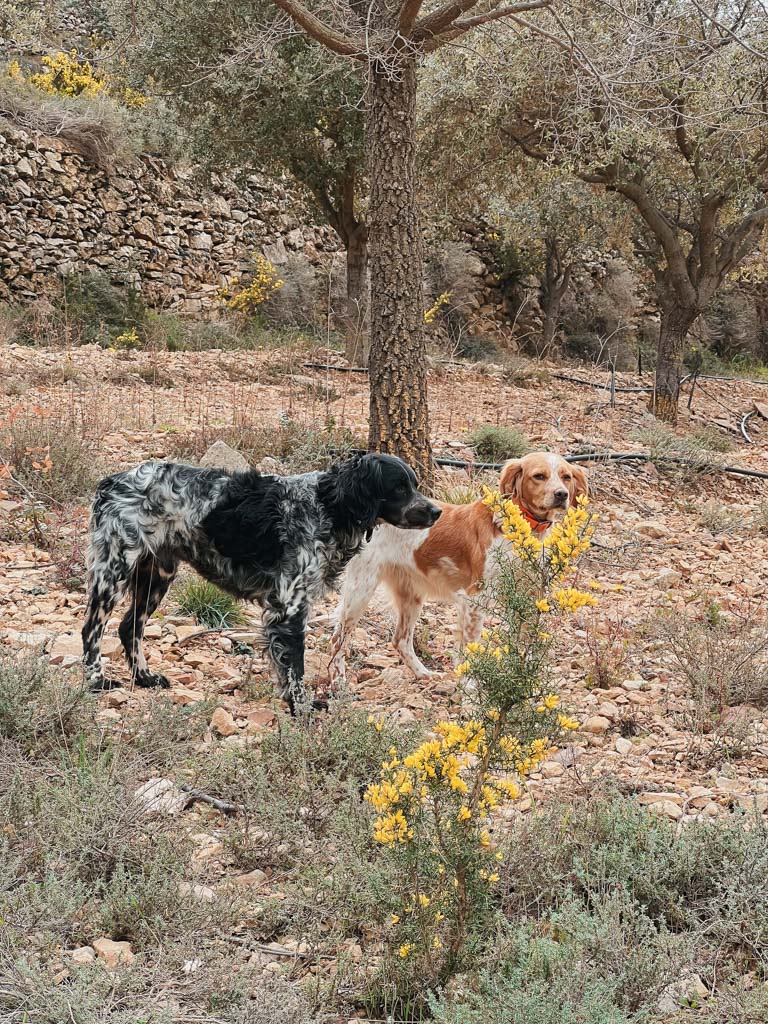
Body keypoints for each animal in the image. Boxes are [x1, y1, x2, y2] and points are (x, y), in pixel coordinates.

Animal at [81, 452, 442, 716]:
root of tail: (111, 483)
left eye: (414, 484)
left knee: (129, 628)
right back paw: (97, 680)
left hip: (157, 575)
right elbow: (294, 669)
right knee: (92, 630)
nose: (437, 511)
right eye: (398, 488)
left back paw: (145, 678)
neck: (328, 507)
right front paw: (302, 708)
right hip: (114, 572)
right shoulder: (288, 608)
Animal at [325, 452, 589, 684]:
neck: (519, 526)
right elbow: (470, 649)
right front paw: (470, 687)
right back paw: (338, 681)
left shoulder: (528, 597)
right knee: (338, 639)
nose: (561, 494)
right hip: (360, 590)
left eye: (566, 476)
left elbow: (524, 644)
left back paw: (423, 673)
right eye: (539, 476)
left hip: (411, 595)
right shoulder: (476, 598)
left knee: (400, 640)